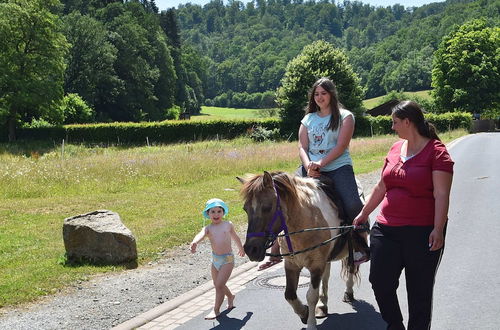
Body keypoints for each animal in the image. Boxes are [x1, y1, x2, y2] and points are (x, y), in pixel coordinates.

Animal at [236, 171, 370, 328]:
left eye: (267, 207)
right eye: (245, 209)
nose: (251, 249)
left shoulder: (316, 265)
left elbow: (311, 295)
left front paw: (311, 324)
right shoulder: (291, 265)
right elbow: (289, 295)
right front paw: (304, 313)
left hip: (352, 250)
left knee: (351, 268)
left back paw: (348, 292)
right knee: (326, 277)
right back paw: (322, 305)